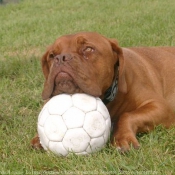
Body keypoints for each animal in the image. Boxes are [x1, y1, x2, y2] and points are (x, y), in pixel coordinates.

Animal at [31, 31, 175, 152]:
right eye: (52, 55)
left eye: (88, 49)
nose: (61, 58)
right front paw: (39, 138)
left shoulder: (161, 106)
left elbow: (127, 115)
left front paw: (123, 137)